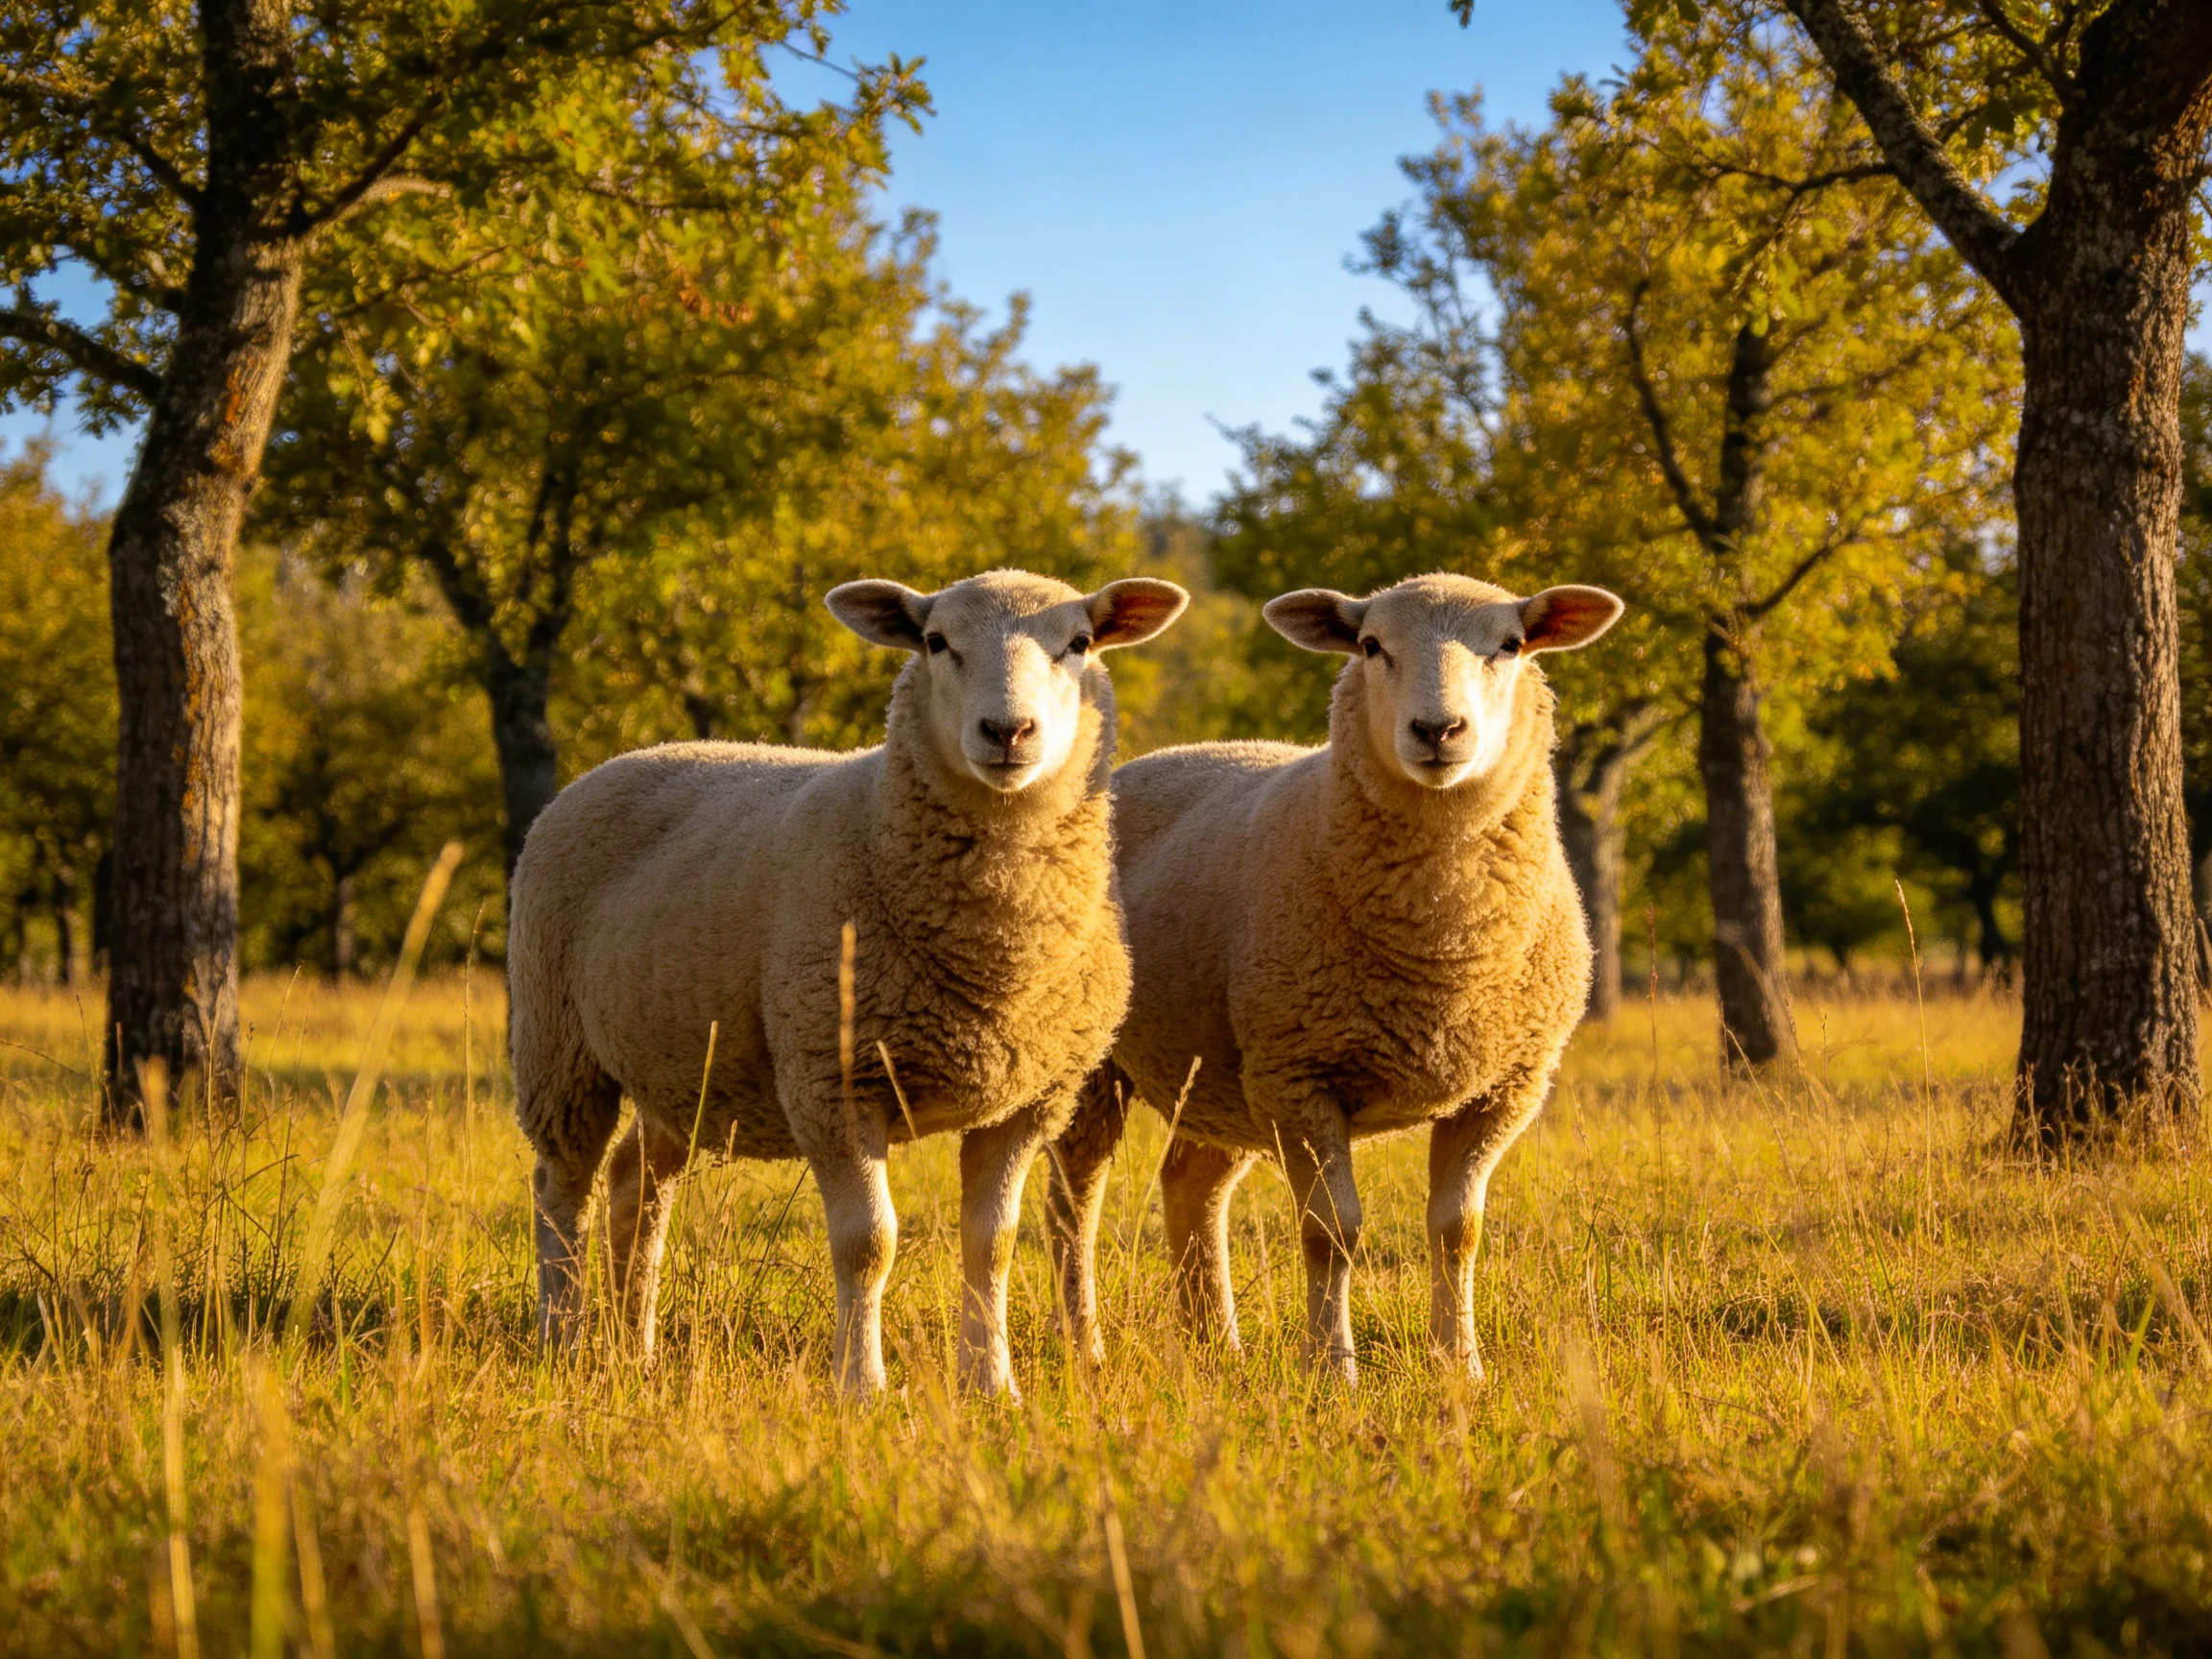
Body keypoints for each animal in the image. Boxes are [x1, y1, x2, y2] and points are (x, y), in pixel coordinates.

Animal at [509, 568, 1188, 1397]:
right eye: (936, 641)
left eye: (1080, 643)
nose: (1007, 732)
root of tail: (623, 759)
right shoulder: (833, 1079)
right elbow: (869, 1242)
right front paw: (862, 1385)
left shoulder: (1027, 1099)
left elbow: (991, 1243)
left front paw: (991, 1385)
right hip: (558, 1045)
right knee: (560, 1191)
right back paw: (559, 1340)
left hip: (679, 1063)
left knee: (636, 1186)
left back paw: (635, 1348)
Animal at [1045, 573, 1623, 1384]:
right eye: (1371, 646)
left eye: (1510, 645)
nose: (1437, 730)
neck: (1444, 947)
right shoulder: (1303, 1076)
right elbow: (1332, 1231)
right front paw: (1333, 1368)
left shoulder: (1503, 1086)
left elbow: (1459, 1229)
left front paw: (1462, 1365)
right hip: (1105, 1064)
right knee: (1075, 1199)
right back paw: (1086, 1344)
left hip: (1222, 1071)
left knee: (1191, 1184)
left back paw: (1216, 1345)